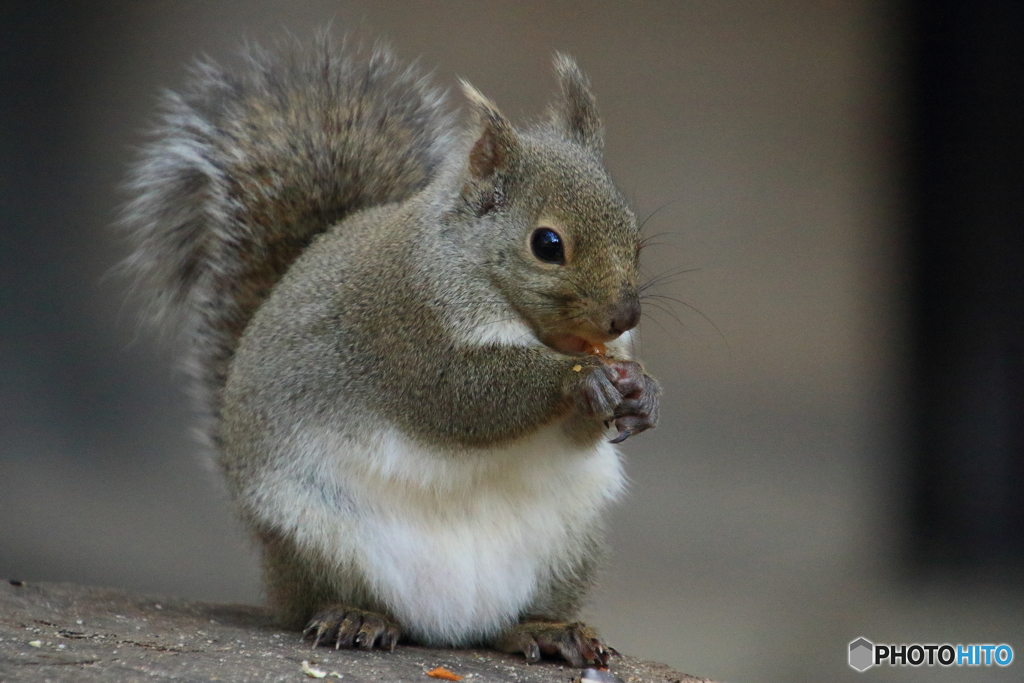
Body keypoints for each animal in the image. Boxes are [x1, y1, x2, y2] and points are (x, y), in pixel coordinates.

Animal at [121, 33, 663, 667]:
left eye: (635, 237)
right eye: (547, 244)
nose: (625, 316)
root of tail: (449, 627)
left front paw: (642, 391)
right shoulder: (407, 326)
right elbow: (463, 397)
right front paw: (580, 380)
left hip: (570, 549)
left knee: (506, 625)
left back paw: (545, 630)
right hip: (317, 536)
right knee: (325, 600)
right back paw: (355, 617)